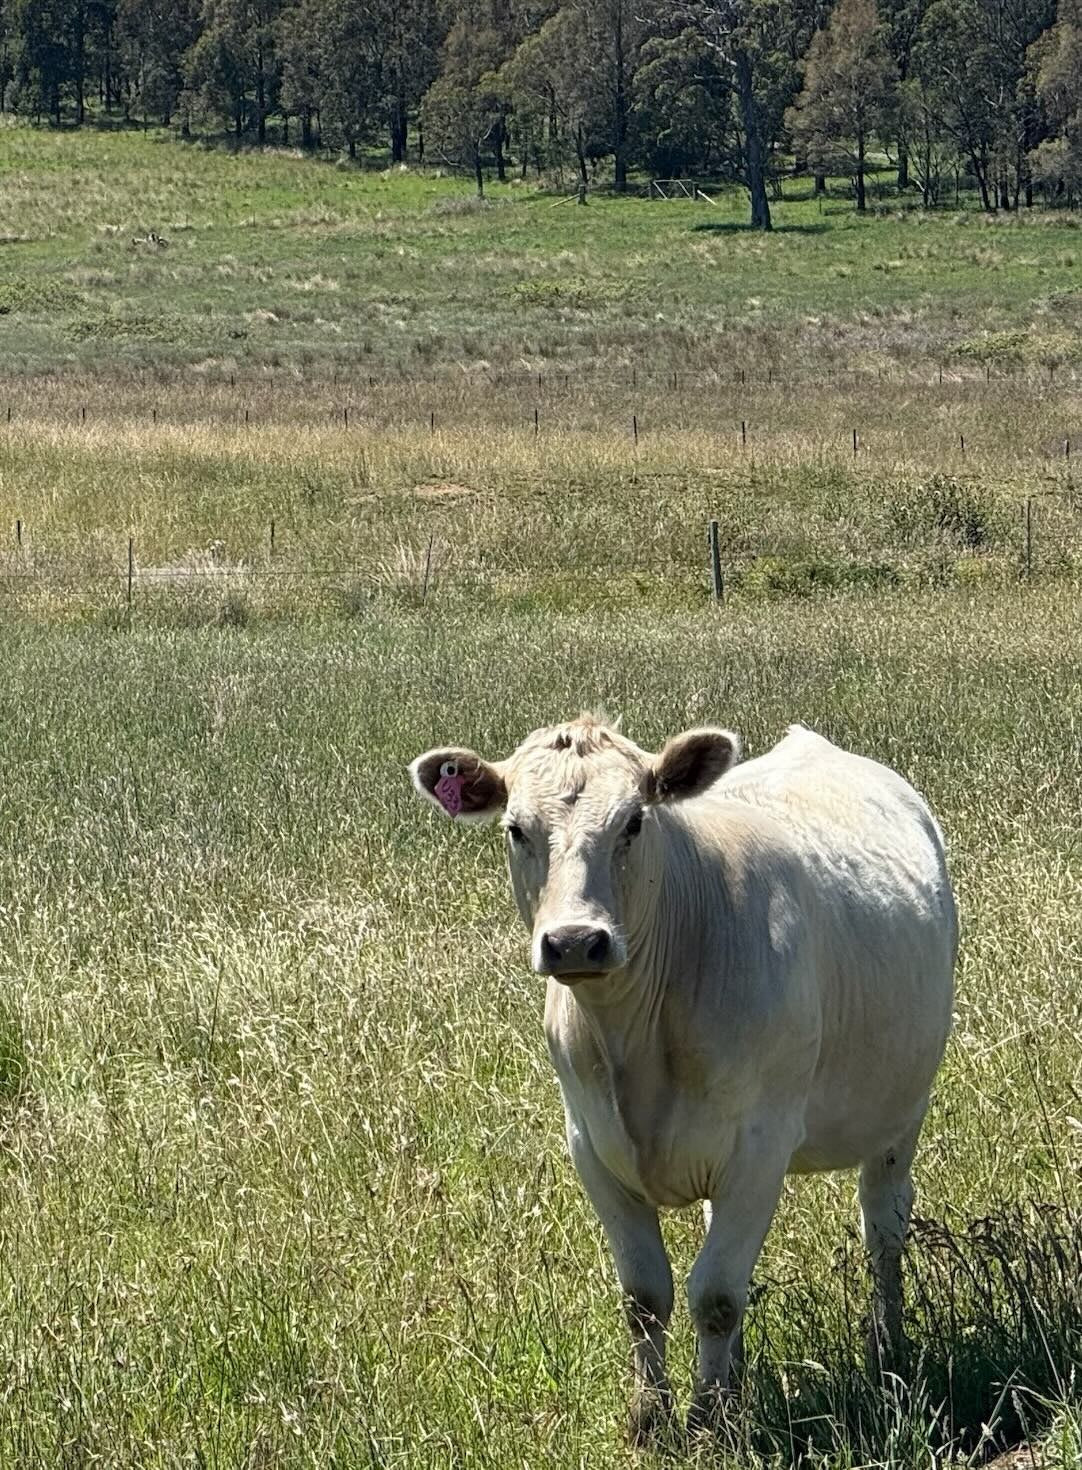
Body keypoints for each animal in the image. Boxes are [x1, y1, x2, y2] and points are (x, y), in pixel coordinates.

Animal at [410, 717, 957, 1442]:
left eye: (634, 821)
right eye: (516, 829)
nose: (575, 941)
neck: (635, 1042)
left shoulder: (761, 1147)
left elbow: (716, 1295)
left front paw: (712, 1419)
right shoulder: (591, 1146)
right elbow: (647, 1295)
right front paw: (652, 1417)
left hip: (902, 1109)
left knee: (883, 1225)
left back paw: (887, 1345)